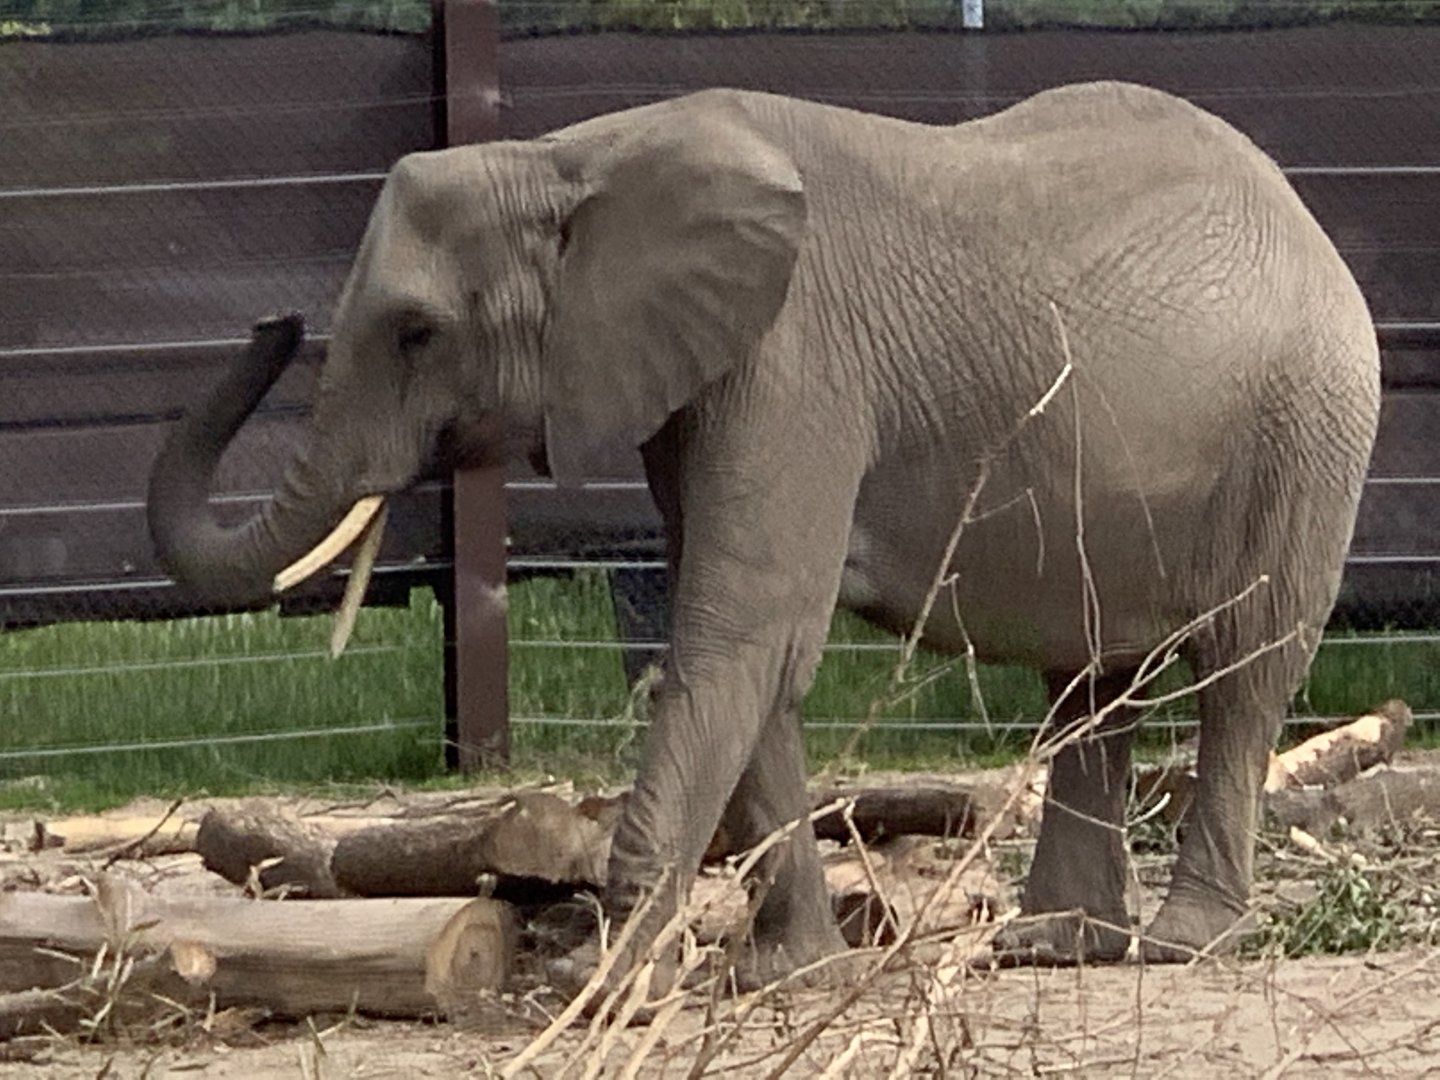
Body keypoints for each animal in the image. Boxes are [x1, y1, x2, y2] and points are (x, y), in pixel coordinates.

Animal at [147, 81, 1381, 984]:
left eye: (415, 333)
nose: (270, 320)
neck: (574, 157)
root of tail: (1307, 218)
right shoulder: (692, 375)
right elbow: (756, 659)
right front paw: (789, 977)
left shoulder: (794, 366)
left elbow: (738, 636)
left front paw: (594, 985)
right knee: (1091, 683)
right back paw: (1049, 948)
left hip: (1307, 429)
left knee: (1246, 670)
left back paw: (1179, 946)